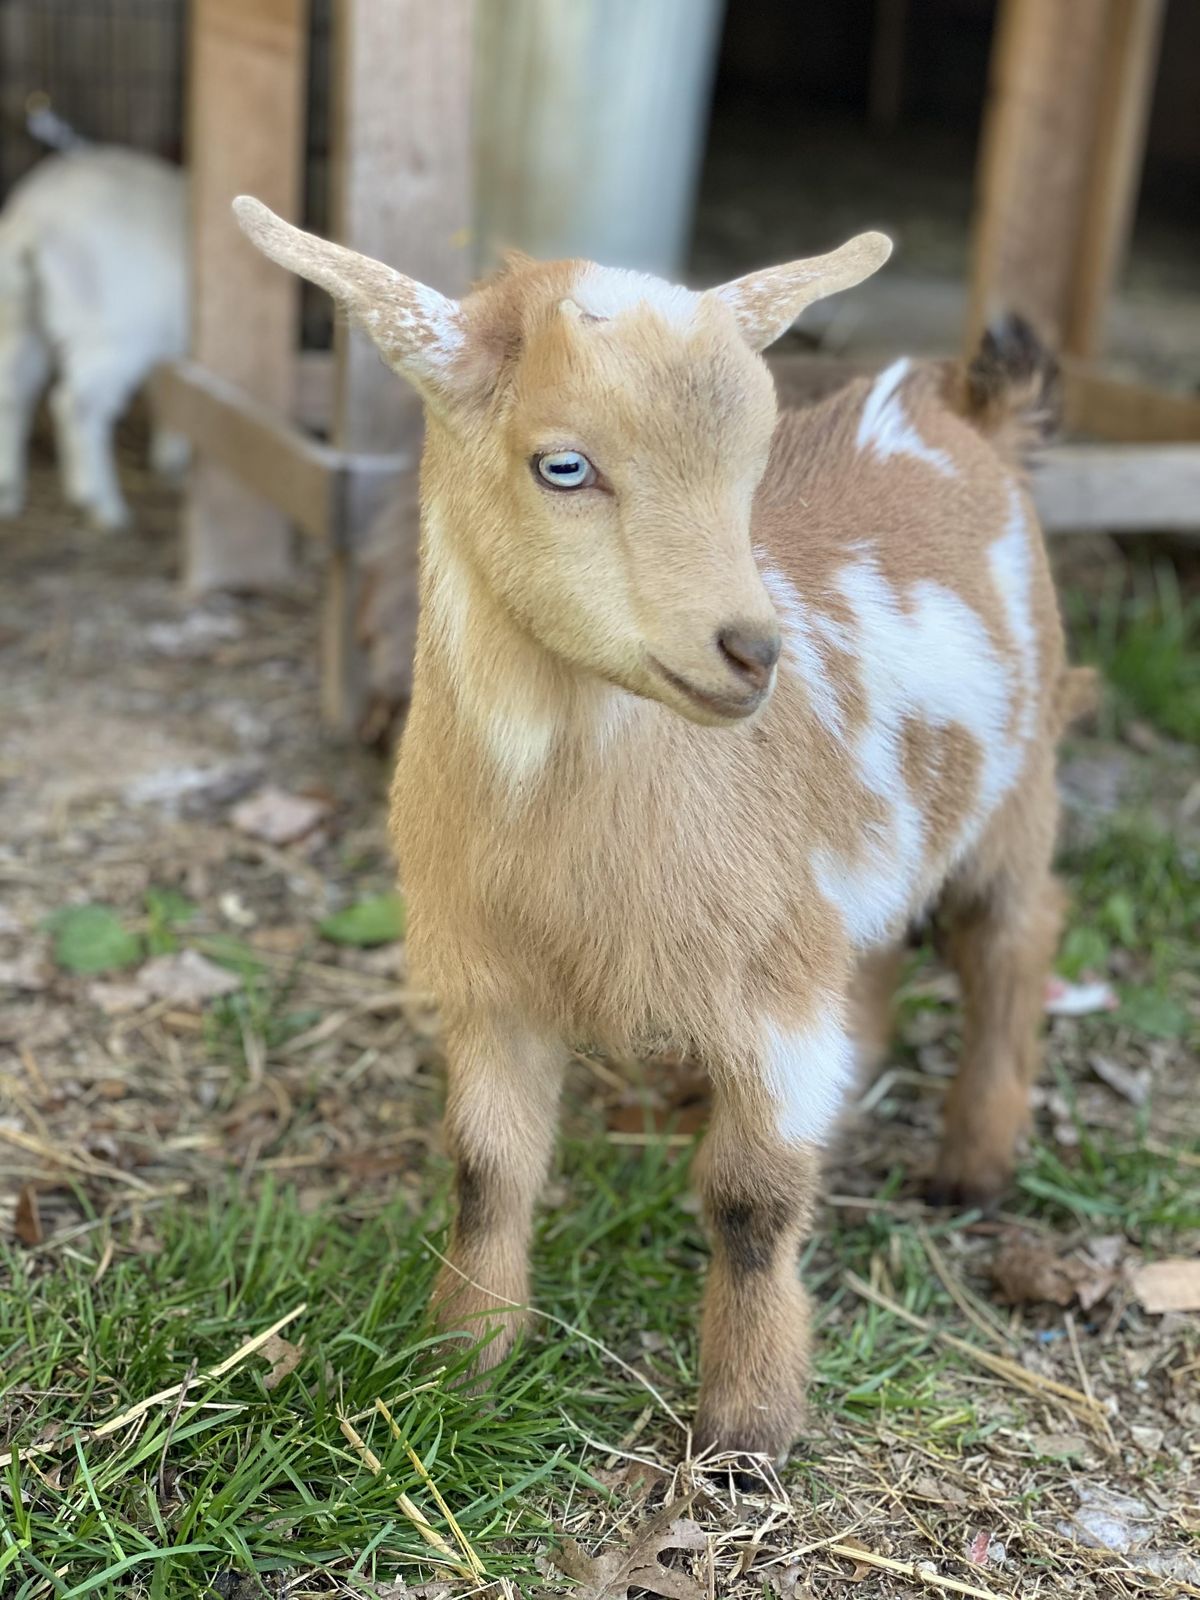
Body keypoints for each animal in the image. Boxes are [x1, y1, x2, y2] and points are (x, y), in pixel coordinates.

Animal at [235, 196, 1081, 1465]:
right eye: (565, 465)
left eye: (752, 467)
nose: (754, 650)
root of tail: (959, 413)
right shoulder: (490, 983)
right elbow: (488, 1170)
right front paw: (463, 1366)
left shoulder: (770, 998)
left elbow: (751, 1199)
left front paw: (746, 1430)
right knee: (883, 935)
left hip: (1017, 791)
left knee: (1012, 940)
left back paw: (973, 1163)